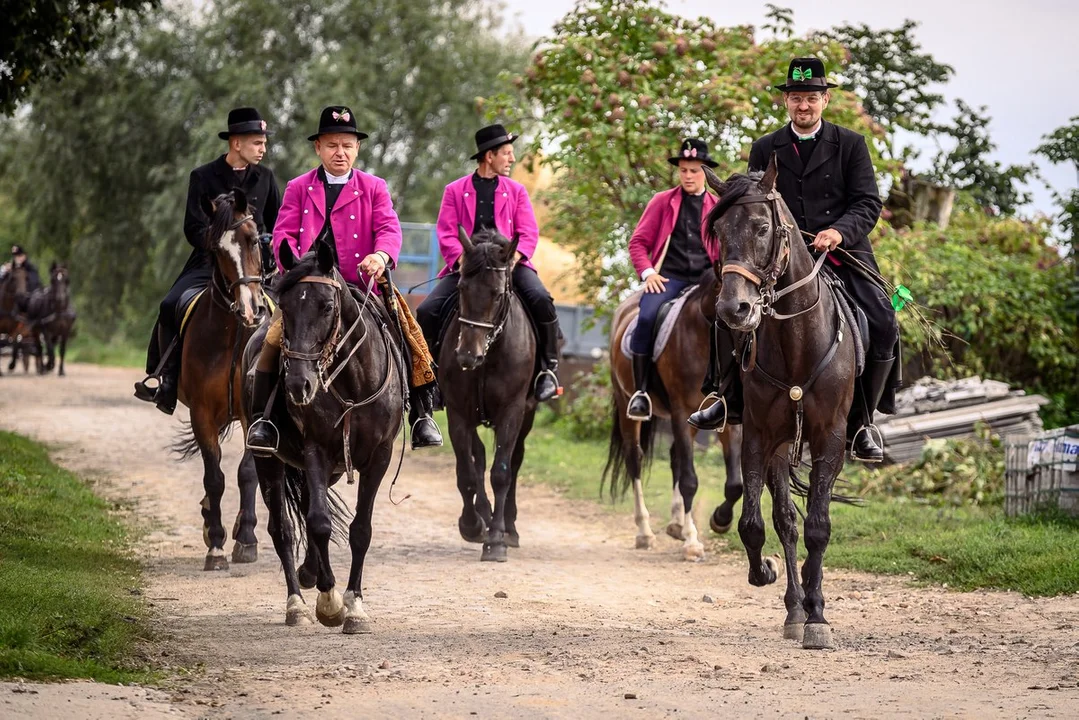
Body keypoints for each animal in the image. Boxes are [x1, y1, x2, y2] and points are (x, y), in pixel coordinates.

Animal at [171, 188, 268, 569]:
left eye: (254, 239)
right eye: (217, 249)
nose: (250, 309)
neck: (233, 335)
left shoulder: (253, 413)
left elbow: (247, 473)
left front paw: (247, 538)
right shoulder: (200, 412)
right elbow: (214, 477)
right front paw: (215, 544)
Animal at [242, 240, 405, 630]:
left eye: (327, 306)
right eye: (285, 306)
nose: (298, 385)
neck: (352, 384)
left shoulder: (379, 457)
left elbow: (361, 530)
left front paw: (355, 605)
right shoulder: (315, 449)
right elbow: (318, 523)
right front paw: (330, 601)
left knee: (304, 508)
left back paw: (309, 573)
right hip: (269, 460)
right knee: (283, 529)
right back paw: (297, 604)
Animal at [440, 227, 537, 565]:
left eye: (496, 293)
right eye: (461, 287)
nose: (468, 356)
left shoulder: (512, 411)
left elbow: (502, 473)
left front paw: (496, 539)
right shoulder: (457, 413)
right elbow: (466, 473)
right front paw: (471, 525)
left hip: (527, 416)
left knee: (514, 461)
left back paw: (510, 527)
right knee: (479, 457)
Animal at [608, 272, 742, 561]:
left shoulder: (725, 420)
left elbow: (735, 484)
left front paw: (720, 520)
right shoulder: (681, 412)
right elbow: (690, 481)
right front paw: (692, 542)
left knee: (675, 458)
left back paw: (677, 523)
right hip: (627, 406)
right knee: (635, 459)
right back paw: (645, 532)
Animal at [699, 158, 858, 651]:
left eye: (762, 227)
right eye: (718, 230)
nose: (734, 309)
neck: (797, 342)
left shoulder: (830, 440)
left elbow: (819, 527)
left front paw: (819, 617)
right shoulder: (758, 436)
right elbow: (753, 524)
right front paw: (765, 574)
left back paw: (807, 606)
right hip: (781, 448)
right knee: (784, 519)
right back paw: (793, 607)